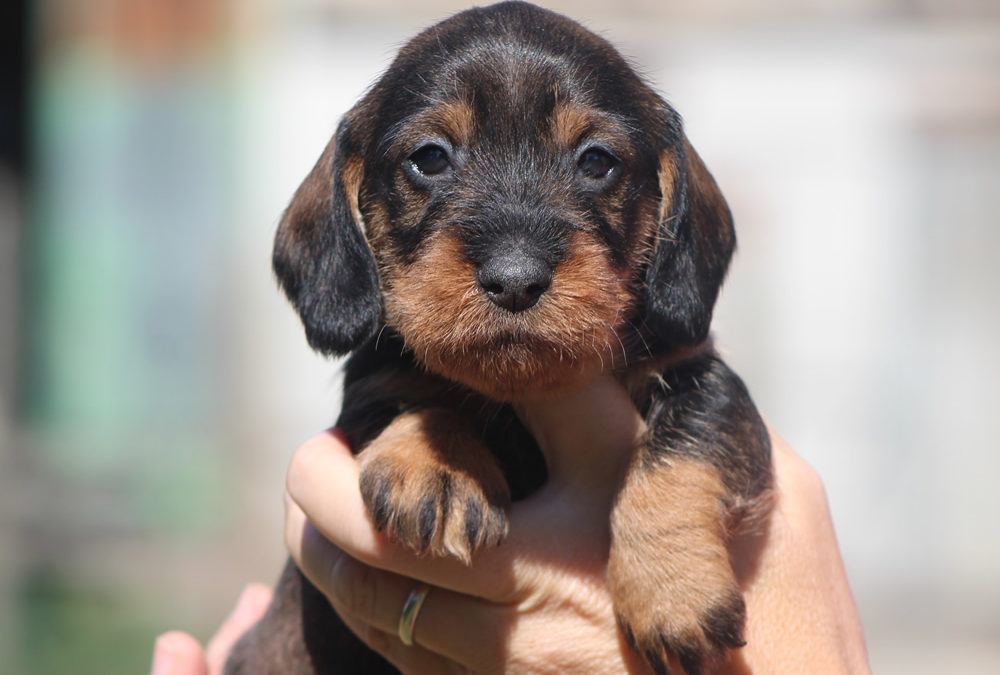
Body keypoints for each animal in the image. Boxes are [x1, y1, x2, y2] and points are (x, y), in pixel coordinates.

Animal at [229, 2, 772, 672]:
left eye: (596, 161)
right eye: (430, 157)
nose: (515, 279)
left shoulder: (704, 376)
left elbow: (682, 447)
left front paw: (673, 591)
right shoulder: (373, 379)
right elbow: (413, 398)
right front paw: (440, 466)